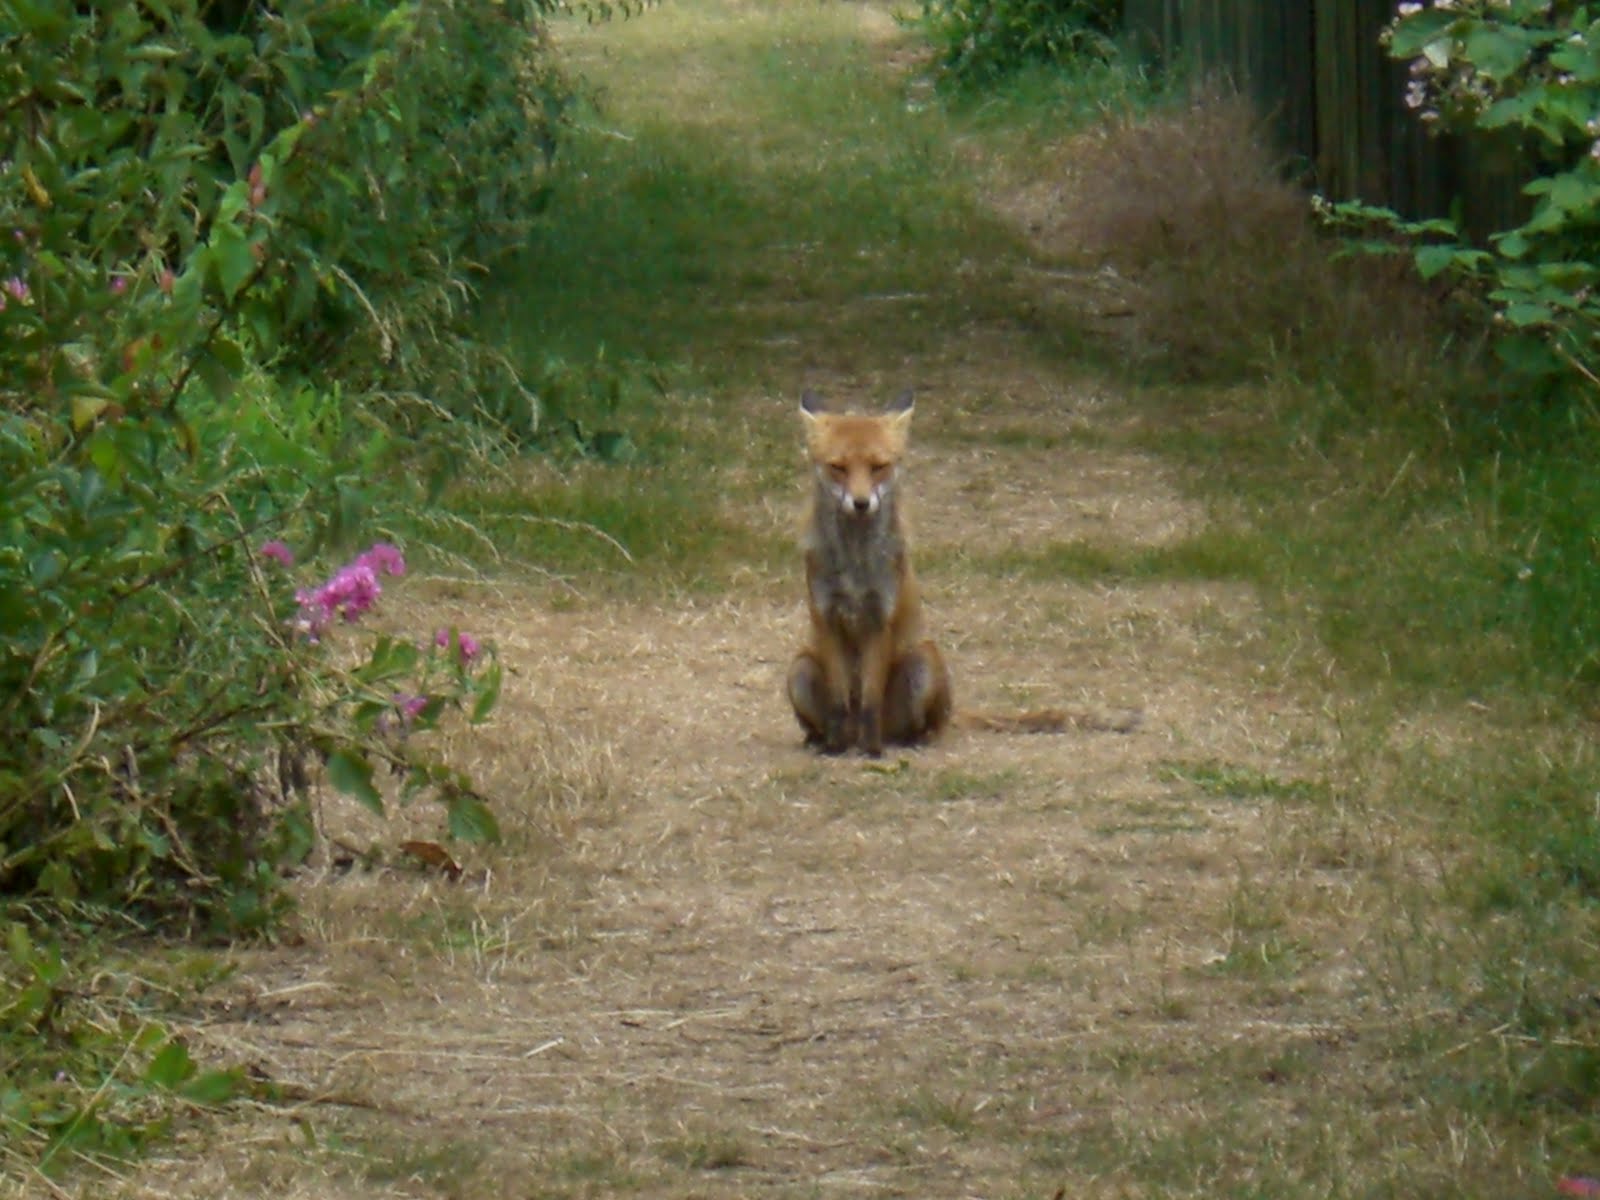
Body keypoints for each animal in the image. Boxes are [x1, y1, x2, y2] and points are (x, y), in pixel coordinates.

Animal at [786, 389, 1142, 756]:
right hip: (800, 667)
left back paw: (908, 739)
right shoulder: (827, 616)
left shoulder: (880, 617)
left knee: (917, 726)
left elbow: (870, 701)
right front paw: (835, 750)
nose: (860, 503)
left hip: (923, 662)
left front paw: (873, 754)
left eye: (879, 467)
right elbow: (839, 704)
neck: (856, 563)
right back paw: (823, 740)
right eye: (838, 468)